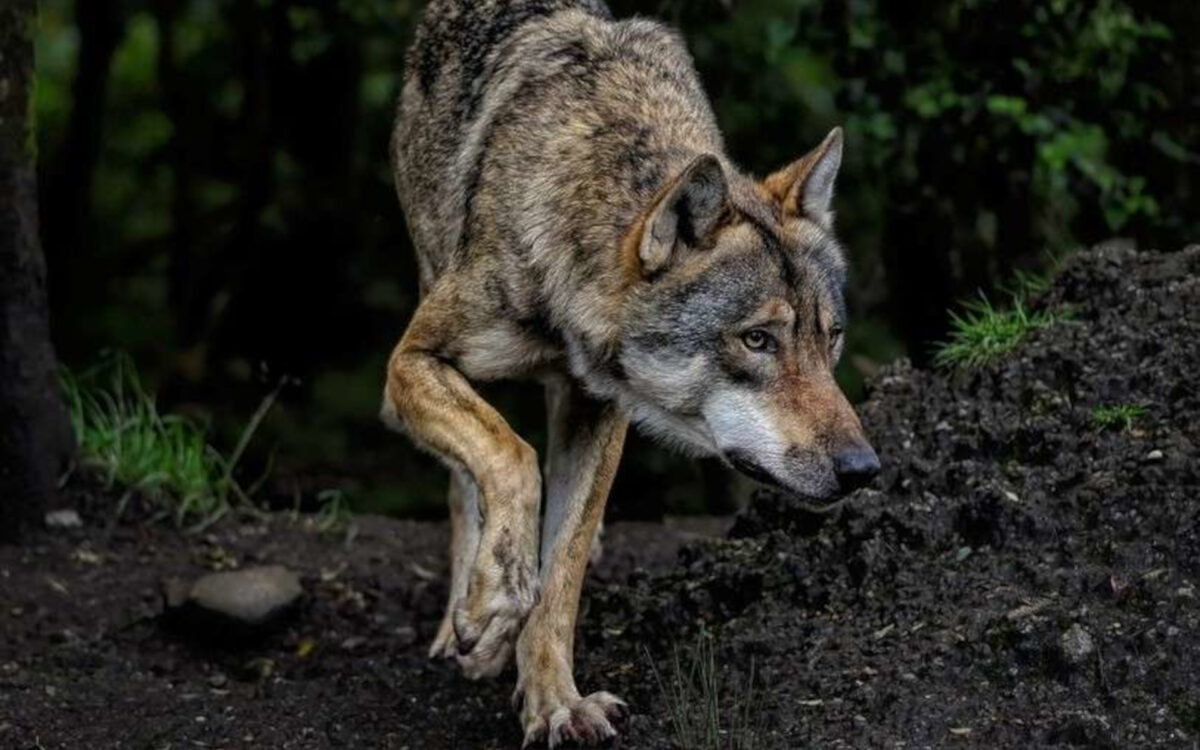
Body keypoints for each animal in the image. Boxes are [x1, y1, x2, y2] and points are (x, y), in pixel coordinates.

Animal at [384, 1, 883, 744]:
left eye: (832, 340)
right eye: (757, 340)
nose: (862, 469)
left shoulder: (599, 409)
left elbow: (560, 572)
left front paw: (555, 702)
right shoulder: (410, 363)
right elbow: (509, 456)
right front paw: (493, 600)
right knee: (465, 480)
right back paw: (464, 619)